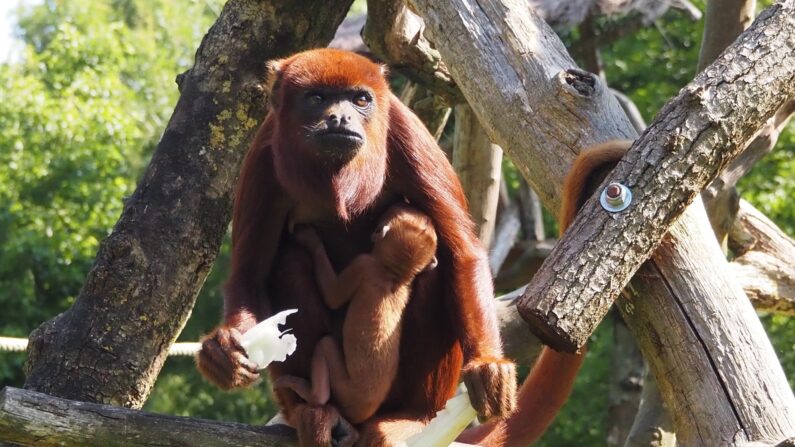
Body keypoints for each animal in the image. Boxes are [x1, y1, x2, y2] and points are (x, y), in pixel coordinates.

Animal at [272, 205, 436, 428]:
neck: (394, 275)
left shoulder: (364, 265)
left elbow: (332, 297)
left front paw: (311, 240)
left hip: (345, 388)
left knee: (324, 345)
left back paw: (313, 394)